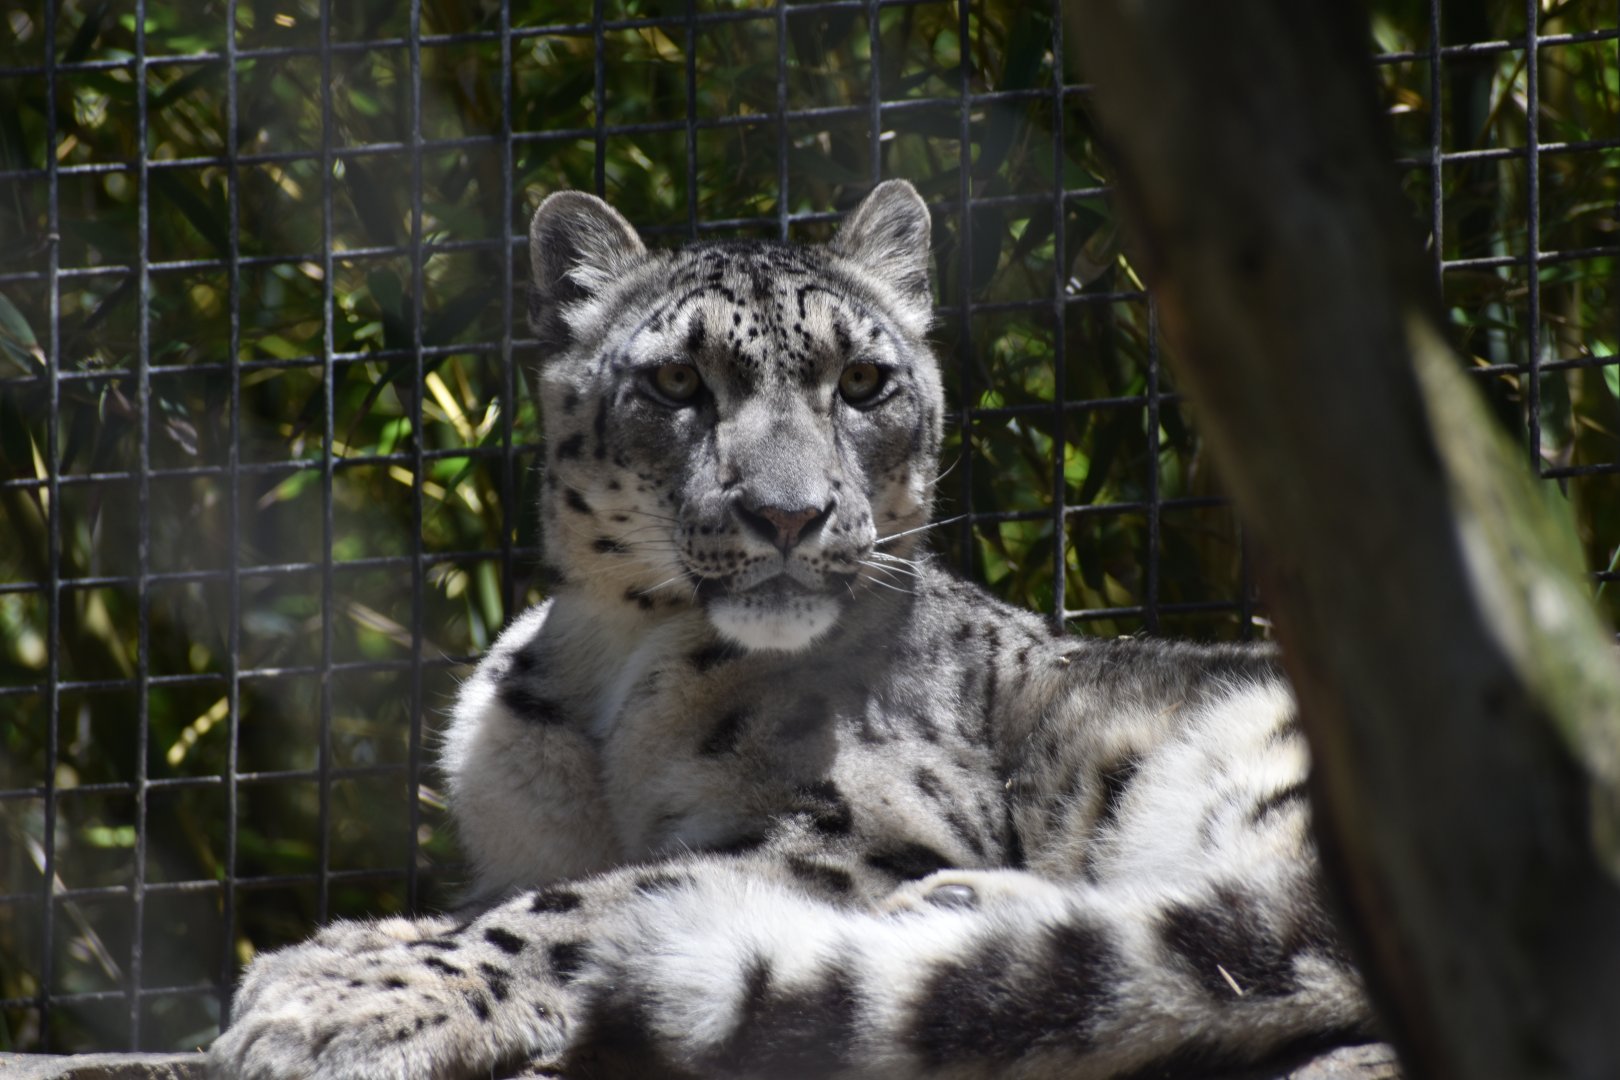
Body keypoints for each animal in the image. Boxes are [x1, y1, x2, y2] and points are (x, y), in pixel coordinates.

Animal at [207, 180, 1375, 1080]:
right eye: (676, 380)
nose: (787, 512)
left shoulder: (858, 822)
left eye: (862, 380)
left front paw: (340, 985)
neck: (612, 677)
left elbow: (599, 898)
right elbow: (530, 889)